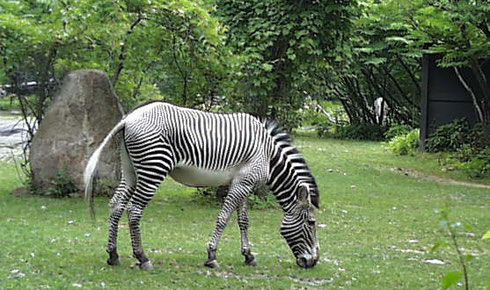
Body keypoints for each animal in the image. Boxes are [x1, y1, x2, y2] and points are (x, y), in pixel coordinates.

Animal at [84, 101, 322, 270]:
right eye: (311, 223)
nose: (313, 262)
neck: (269, 154)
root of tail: (129, 118)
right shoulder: (243, 182)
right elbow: (224, 218)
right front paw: (212, 256)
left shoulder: (244, 182)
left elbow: (243, 221)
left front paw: (248, 255)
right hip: (154, 168)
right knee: (134, 210)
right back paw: (143, 258)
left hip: (130, 170)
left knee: (116, 205)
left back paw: (113, 255)